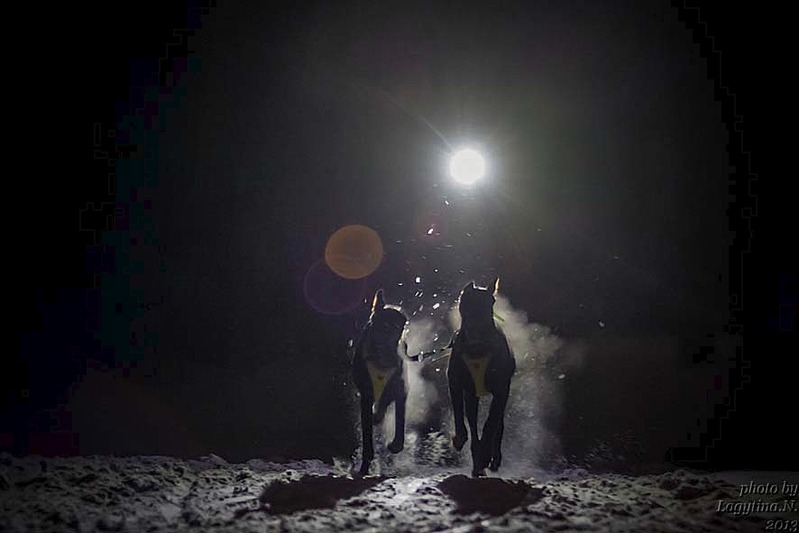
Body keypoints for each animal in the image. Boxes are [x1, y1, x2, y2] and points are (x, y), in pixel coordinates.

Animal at [352, 288, 412, 476]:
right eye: (385, 325)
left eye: (402, 326)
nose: (399, 350)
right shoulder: (365, 396)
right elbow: (367, 437)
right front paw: (365, 465)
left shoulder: (401, 390)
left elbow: (399, 420)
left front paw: (395, 445)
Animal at [446, 276, 516, 476]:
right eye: (470, 303)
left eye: (491, 302)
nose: (485, 331)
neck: (477, 349)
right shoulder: (457, 383)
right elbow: (460, 413)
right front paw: (461, 439)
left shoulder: (501, 389)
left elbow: (491, 423)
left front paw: (485, 454)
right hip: (472, 394)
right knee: (472, 419)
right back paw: (478, 462)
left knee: (498, 424)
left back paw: (492, 458)